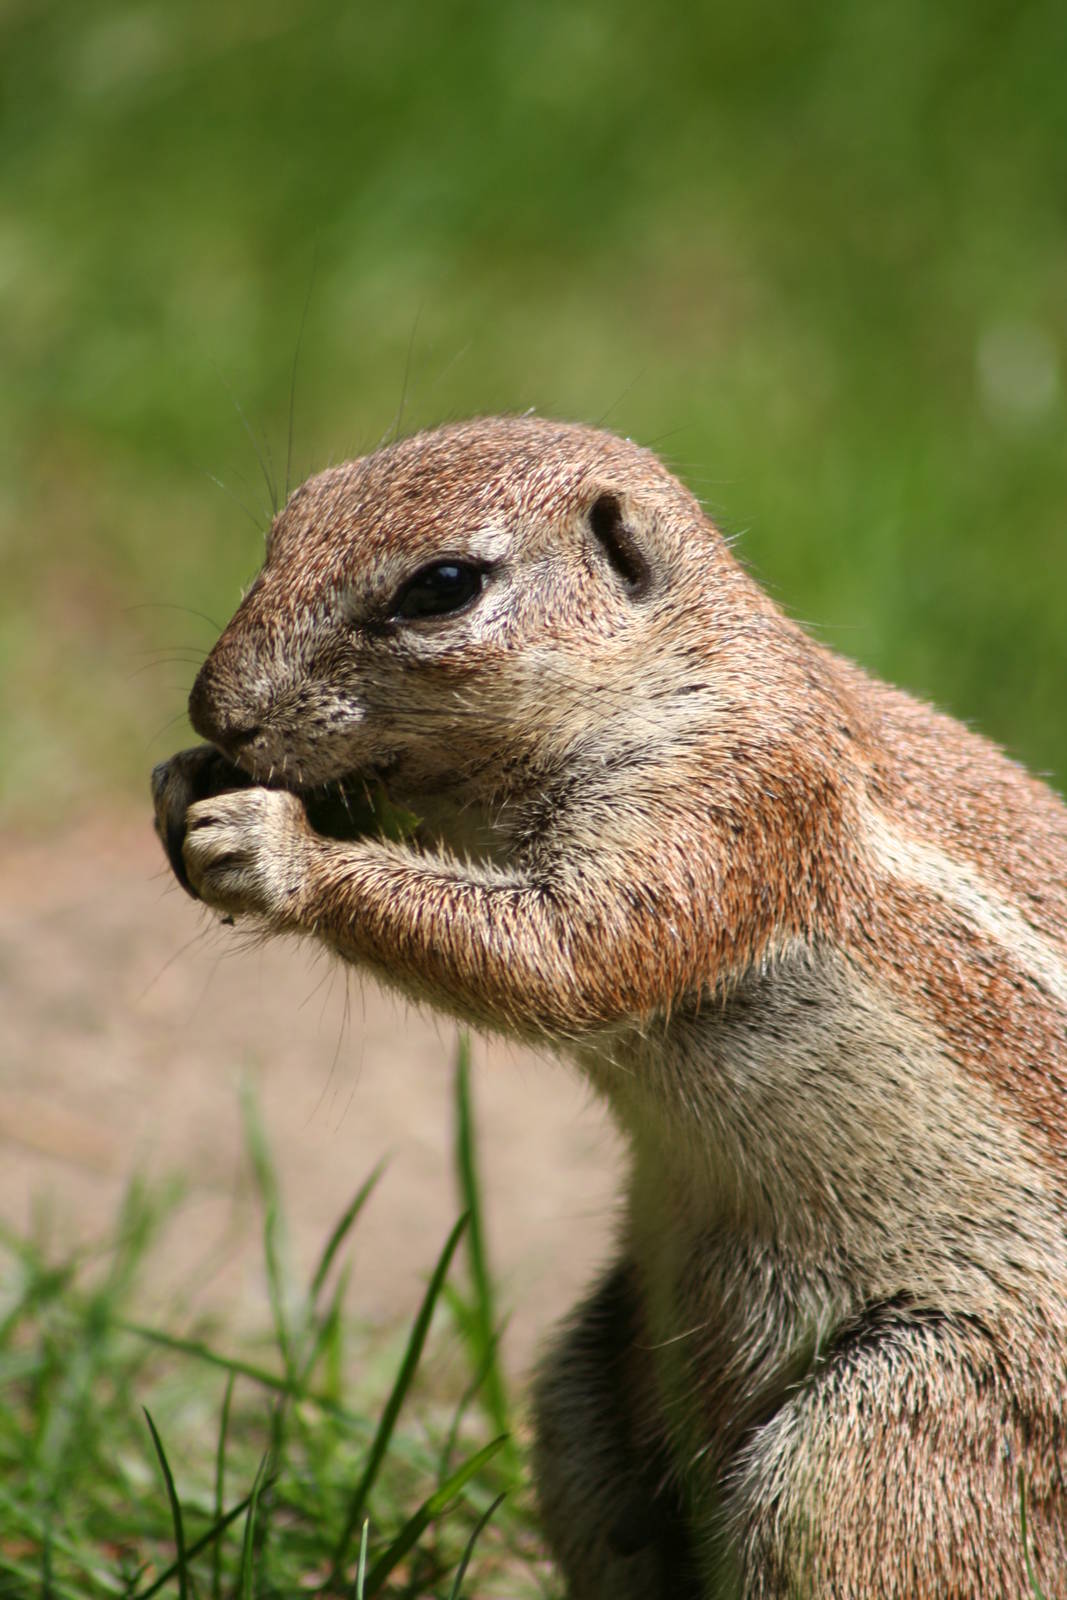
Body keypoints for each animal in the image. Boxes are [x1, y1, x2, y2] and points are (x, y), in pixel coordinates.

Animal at [152, 416, 1067, 1599]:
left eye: (441, 586)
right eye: (286, 523)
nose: (214, 710)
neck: (680, 669)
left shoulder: (721, 806)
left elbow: (568, 954)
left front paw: (270, 846)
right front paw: (184, 780)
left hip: (879, 1445)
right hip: (585, 1392)